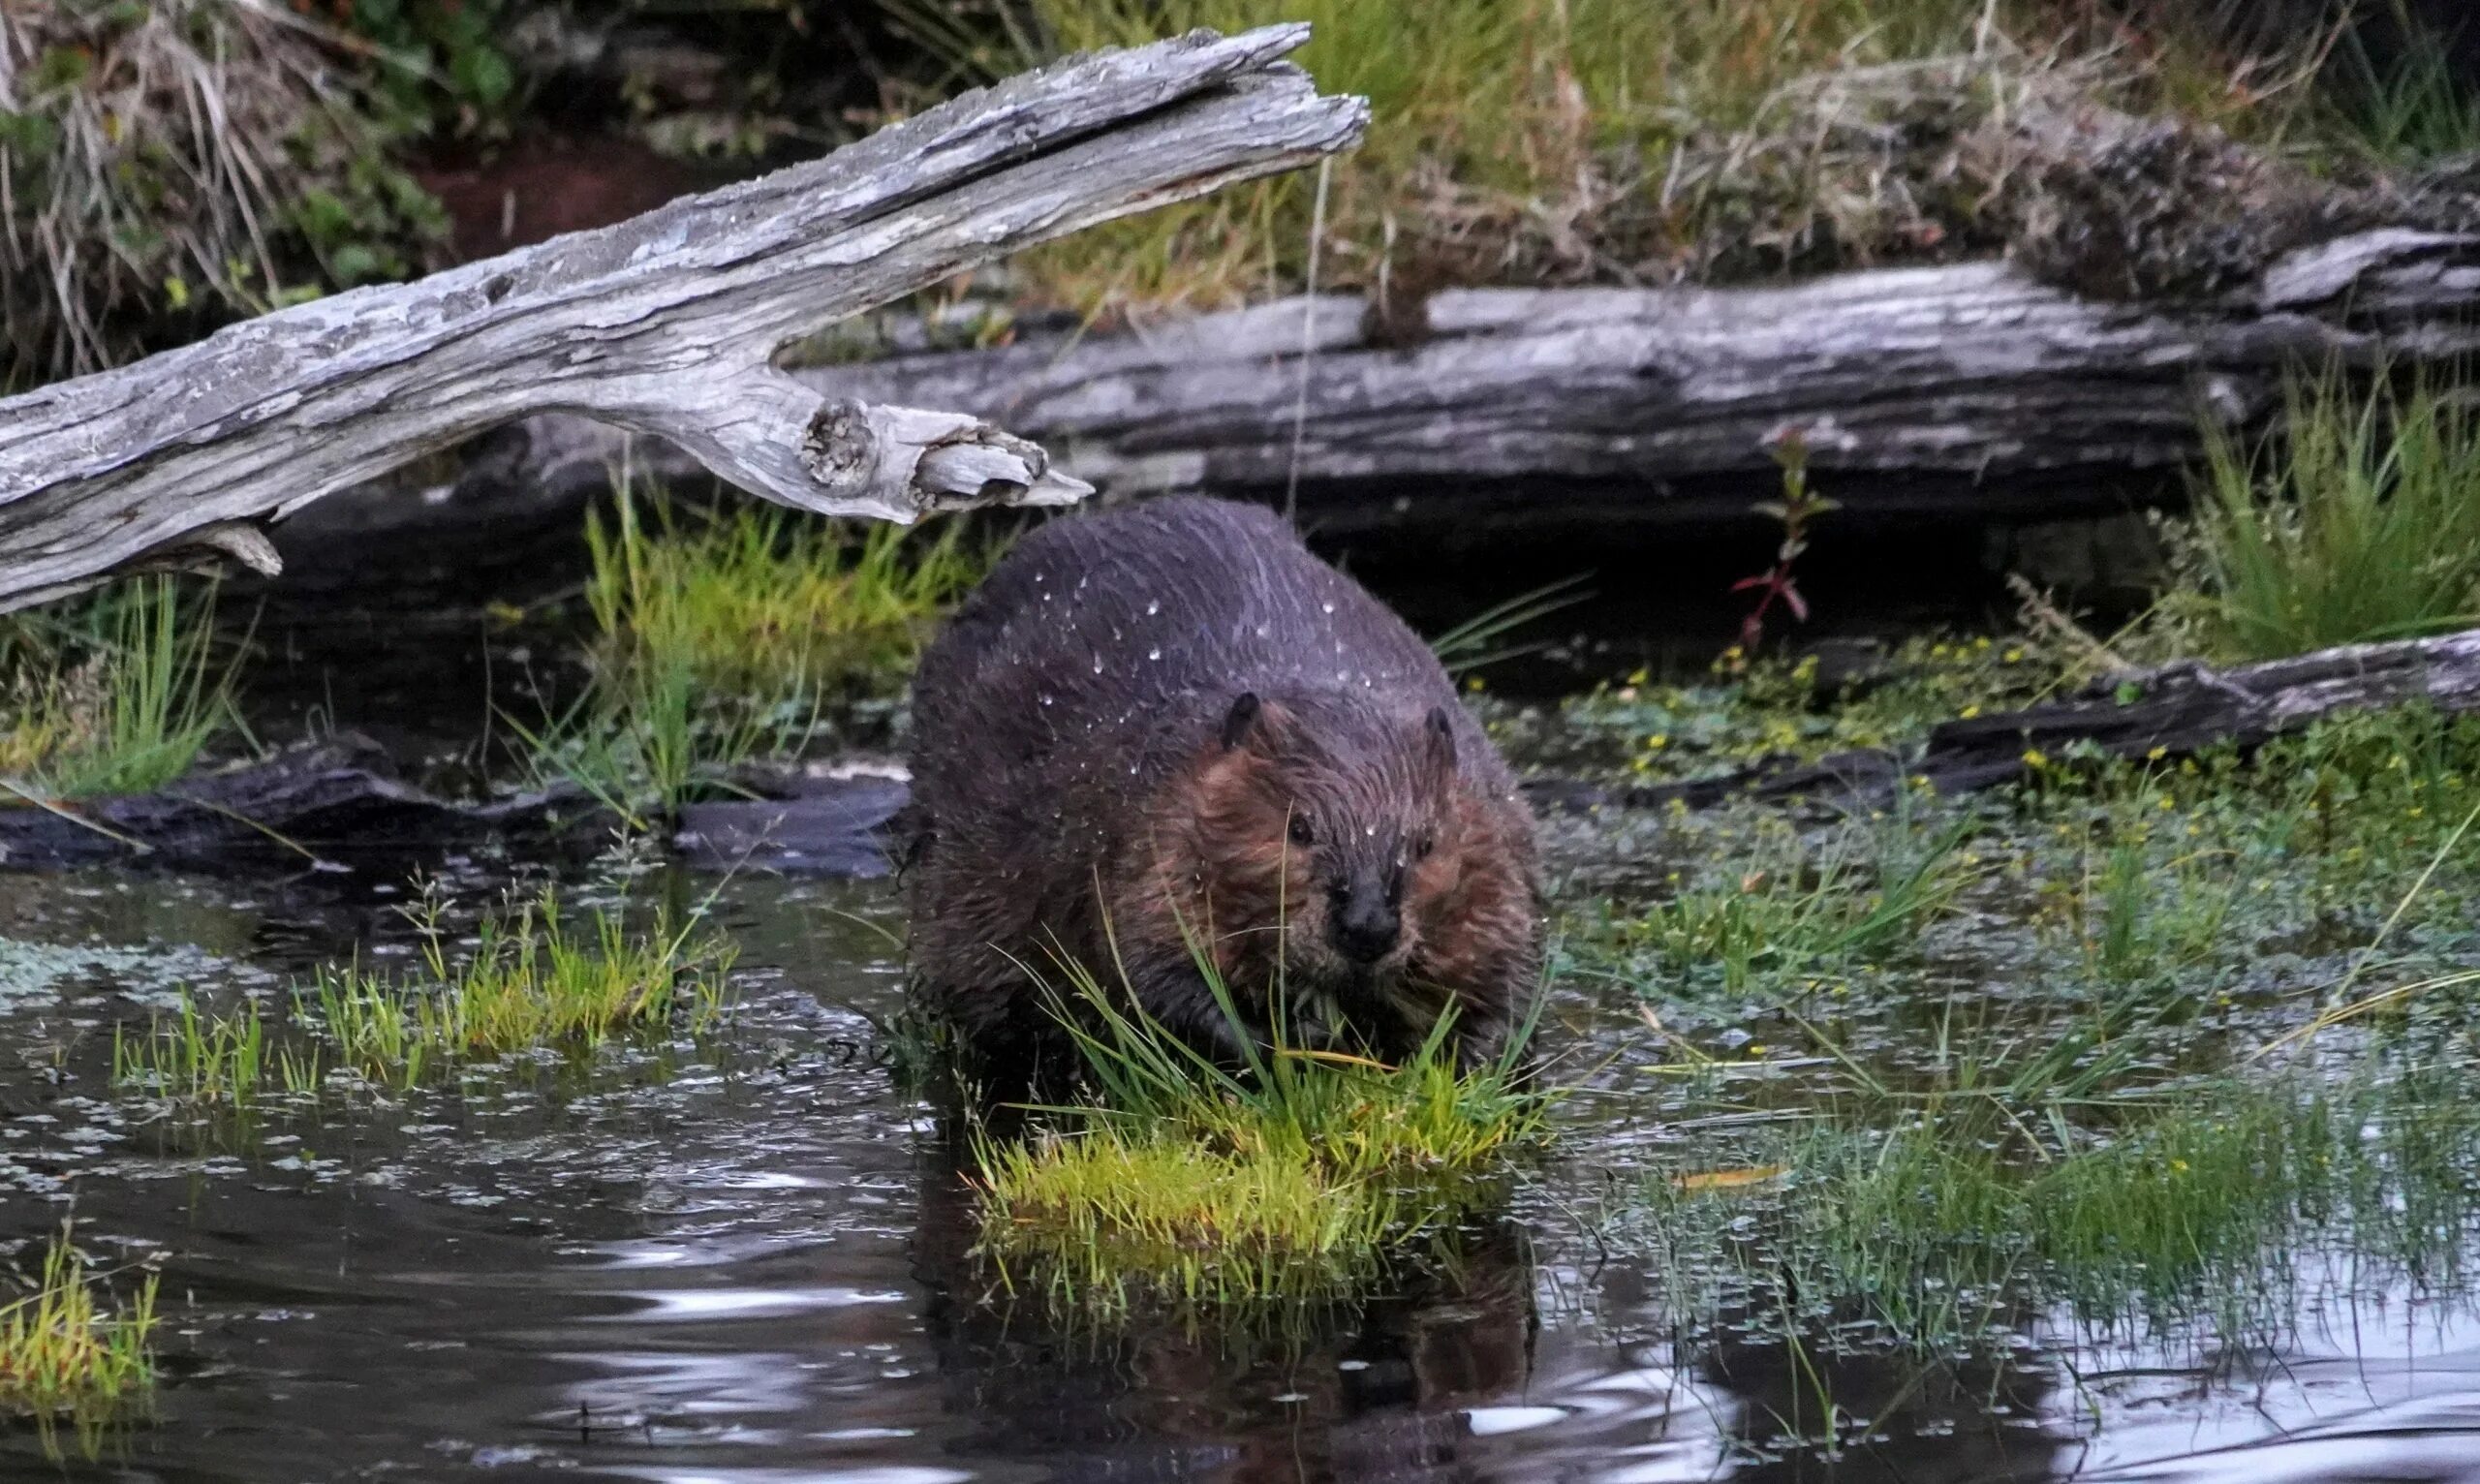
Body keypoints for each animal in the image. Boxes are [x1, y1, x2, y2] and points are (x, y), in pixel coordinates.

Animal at [902, 496, 1537, 1071]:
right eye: (1299, 829)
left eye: (1426, 843)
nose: (1367, 927)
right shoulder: (1144, 828)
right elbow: (1147, 973)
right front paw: (1295, 1039)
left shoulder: (1493, 837)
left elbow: (1507, 984)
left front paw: (1463, 1057)